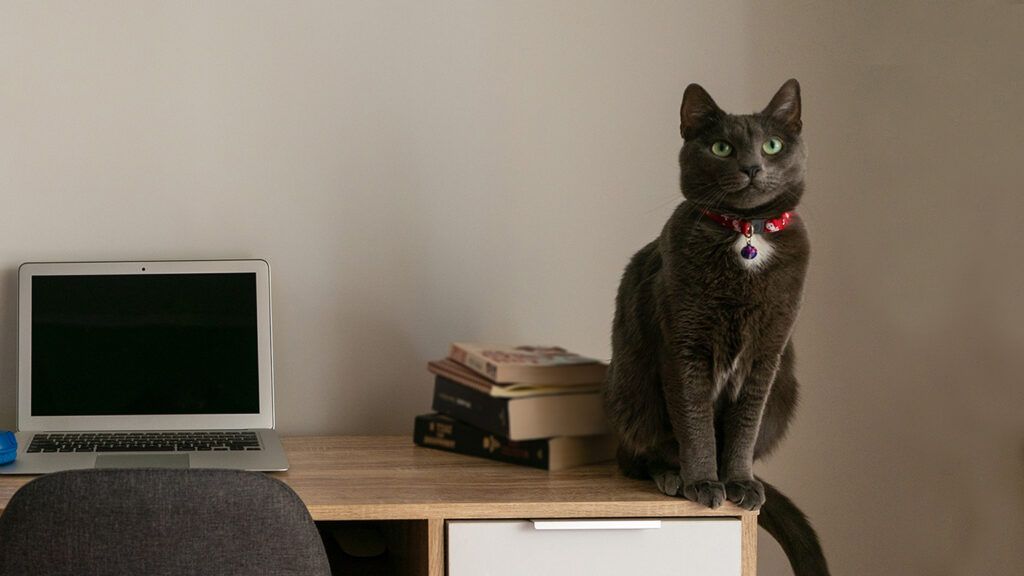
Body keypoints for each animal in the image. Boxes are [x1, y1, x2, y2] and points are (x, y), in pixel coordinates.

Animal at [602, 79, 827, 573]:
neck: (746, 233)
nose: (751, 166)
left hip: (785, 390)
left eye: (772, 145)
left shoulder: (767, 355)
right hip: (630, 390)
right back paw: (670, 475)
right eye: (721, 147)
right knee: (638, 455)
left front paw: (737, 481)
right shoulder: (684, 347)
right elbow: (695, 421)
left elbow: (743, 426)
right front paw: (704, 482)